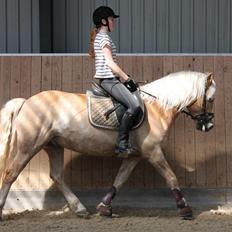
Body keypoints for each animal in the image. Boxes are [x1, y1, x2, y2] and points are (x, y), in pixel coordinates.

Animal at [0, 70, 216, 219]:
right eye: (211, 99)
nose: (209, 125)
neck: (157, 107)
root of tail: (26, 102)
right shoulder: (153, 151)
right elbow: (171, 177)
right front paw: (185, 209)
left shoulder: (135, 155)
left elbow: (119, 180)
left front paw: (104, 208)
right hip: (29, 146)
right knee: (11, 174)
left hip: (53, 146)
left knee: (57, 175)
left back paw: (80, 209)